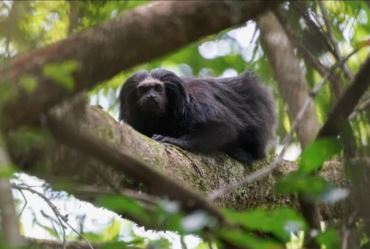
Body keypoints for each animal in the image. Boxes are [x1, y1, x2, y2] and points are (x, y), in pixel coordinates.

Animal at [118, 69, 274, 164]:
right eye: (143, 90)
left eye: (157, 88)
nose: (151, 96)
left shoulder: (196, 105)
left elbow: (226, 126)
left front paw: (176, 141)